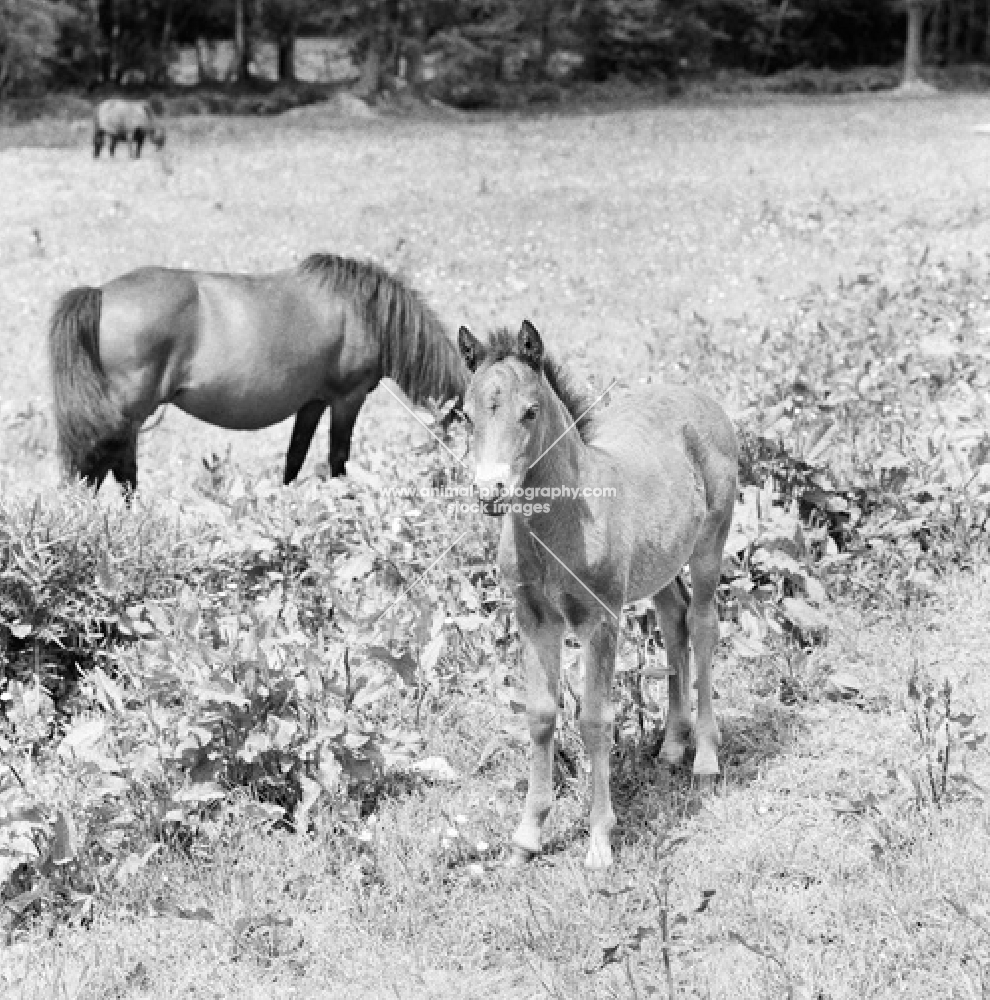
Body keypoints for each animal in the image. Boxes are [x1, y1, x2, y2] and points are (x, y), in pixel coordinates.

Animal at [46, 256, 464, 494]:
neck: (366, 311)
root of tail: (101, 293)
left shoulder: (313, 402)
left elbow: (294, 460)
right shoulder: (349, 398)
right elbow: (338, 460)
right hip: (127, 416)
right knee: (106, 470)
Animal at [458, 320, 736, 868]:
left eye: (531, 411)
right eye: (469, 415)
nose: (490, 492)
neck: (561, 526)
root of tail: (700, 397)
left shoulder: (600, 621)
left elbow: (593, 722)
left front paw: (600, 841)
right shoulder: (534, 620)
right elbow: (542, 716)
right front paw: (527, 837)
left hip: (709, 546)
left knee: (702, 627)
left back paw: (706, 762)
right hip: (659, 567)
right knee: (673, 620)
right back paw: (672, 749)